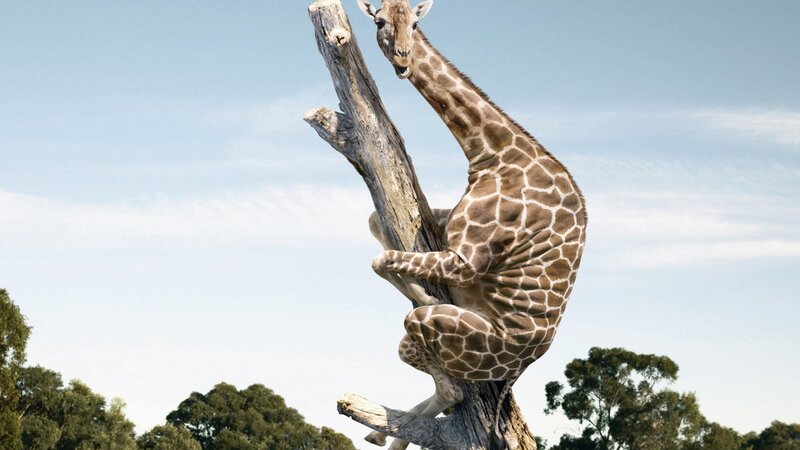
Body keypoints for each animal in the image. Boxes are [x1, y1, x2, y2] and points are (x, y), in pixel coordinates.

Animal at [358, 1, 587, 448]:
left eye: (416, 23)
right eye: (379, 21)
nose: (403, 60)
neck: (492, 153)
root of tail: (520, 367)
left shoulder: (466, 259)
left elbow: (381, 261)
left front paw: (424, 294)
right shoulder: (444, 228)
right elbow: (376, 224)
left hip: (445, 336)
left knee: (451, 386)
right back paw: (381, 433)